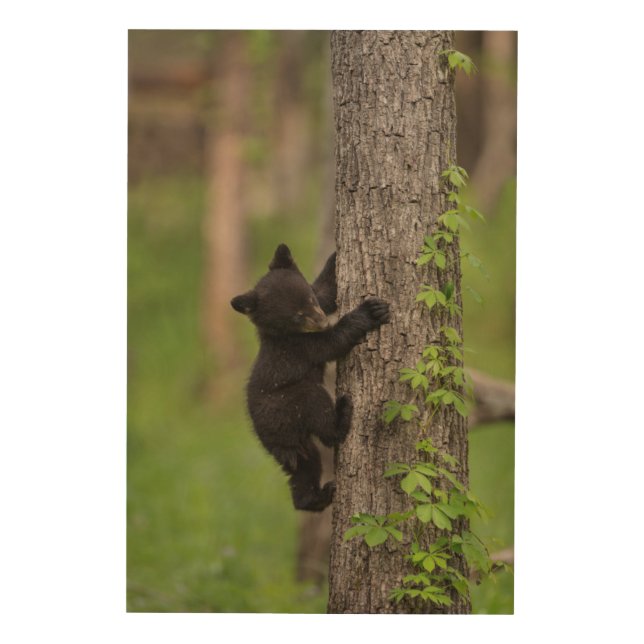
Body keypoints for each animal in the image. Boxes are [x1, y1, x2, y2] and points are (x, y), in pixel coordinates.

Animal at [231, 243, 390, 511]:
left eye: (309, 299)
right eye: (296, 315)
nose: (322, 322)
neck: (284, 333)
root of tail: (268, 436)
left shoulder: (317, 304)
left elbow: (326, 291)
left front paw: (335, 258)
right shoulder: (299, 346)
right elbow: (333, 342)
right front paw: (369, 311)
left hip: (294, 445)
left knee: (305, 466)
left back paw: (315, 498)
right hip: (290, 402)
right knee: (319, 414)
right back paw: (342, 416)